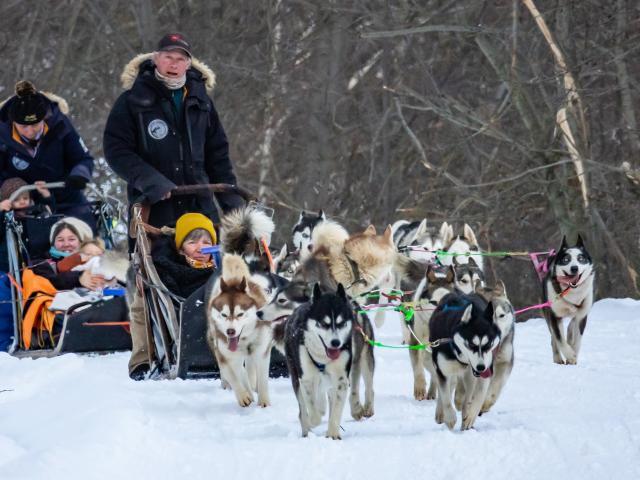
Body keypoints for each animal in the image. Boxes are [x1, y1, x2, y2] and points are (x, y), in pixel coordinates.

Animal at [205, 253, 270, 406]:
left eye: (240, 314)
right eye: (224, 315)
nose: (230, 331)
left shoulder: (262, 351)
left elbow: (262, 378)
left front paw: (264, 403)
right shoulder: (224, 354)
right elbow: (232, 375)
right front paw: (244, 396)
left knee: (250, 369)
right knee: (240, 371)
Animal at [286, 284, 372, 440]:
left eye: (341, 323)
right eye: (323, 323)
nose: (336, 342)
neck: (323, 358)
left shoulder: (341, 379)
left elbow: (335, 411)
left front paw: (332, 434)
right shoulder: (306, 378)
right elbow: (313, 411)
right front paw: (314, 419)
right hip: (296, 376)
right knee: (303, 409)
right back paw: (307, 429)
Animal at [430, 292, 500, 432]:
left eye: (488, 344)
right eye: (472, 344)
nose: (481, 367)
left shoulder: (486, 370)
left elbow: (479, 396)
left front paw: (470, 416)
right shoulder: (442, 370)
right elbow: (445, 396)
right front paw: (450, 418)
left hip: (469, 376)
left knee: (466, 394)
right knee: (445, 390)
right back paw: (441, 412)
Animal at [544, 235, 596, 364]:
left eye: (581, 258)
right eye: (566, 260)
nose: (574, 268)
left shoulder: (581, 316)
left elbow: (577, 340)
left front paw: (573, 356)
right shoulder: (554, 315)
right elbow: (560, 340)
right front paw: (570, 356)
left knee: (570, 328)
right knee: (554, 339)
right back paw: (557, 358)